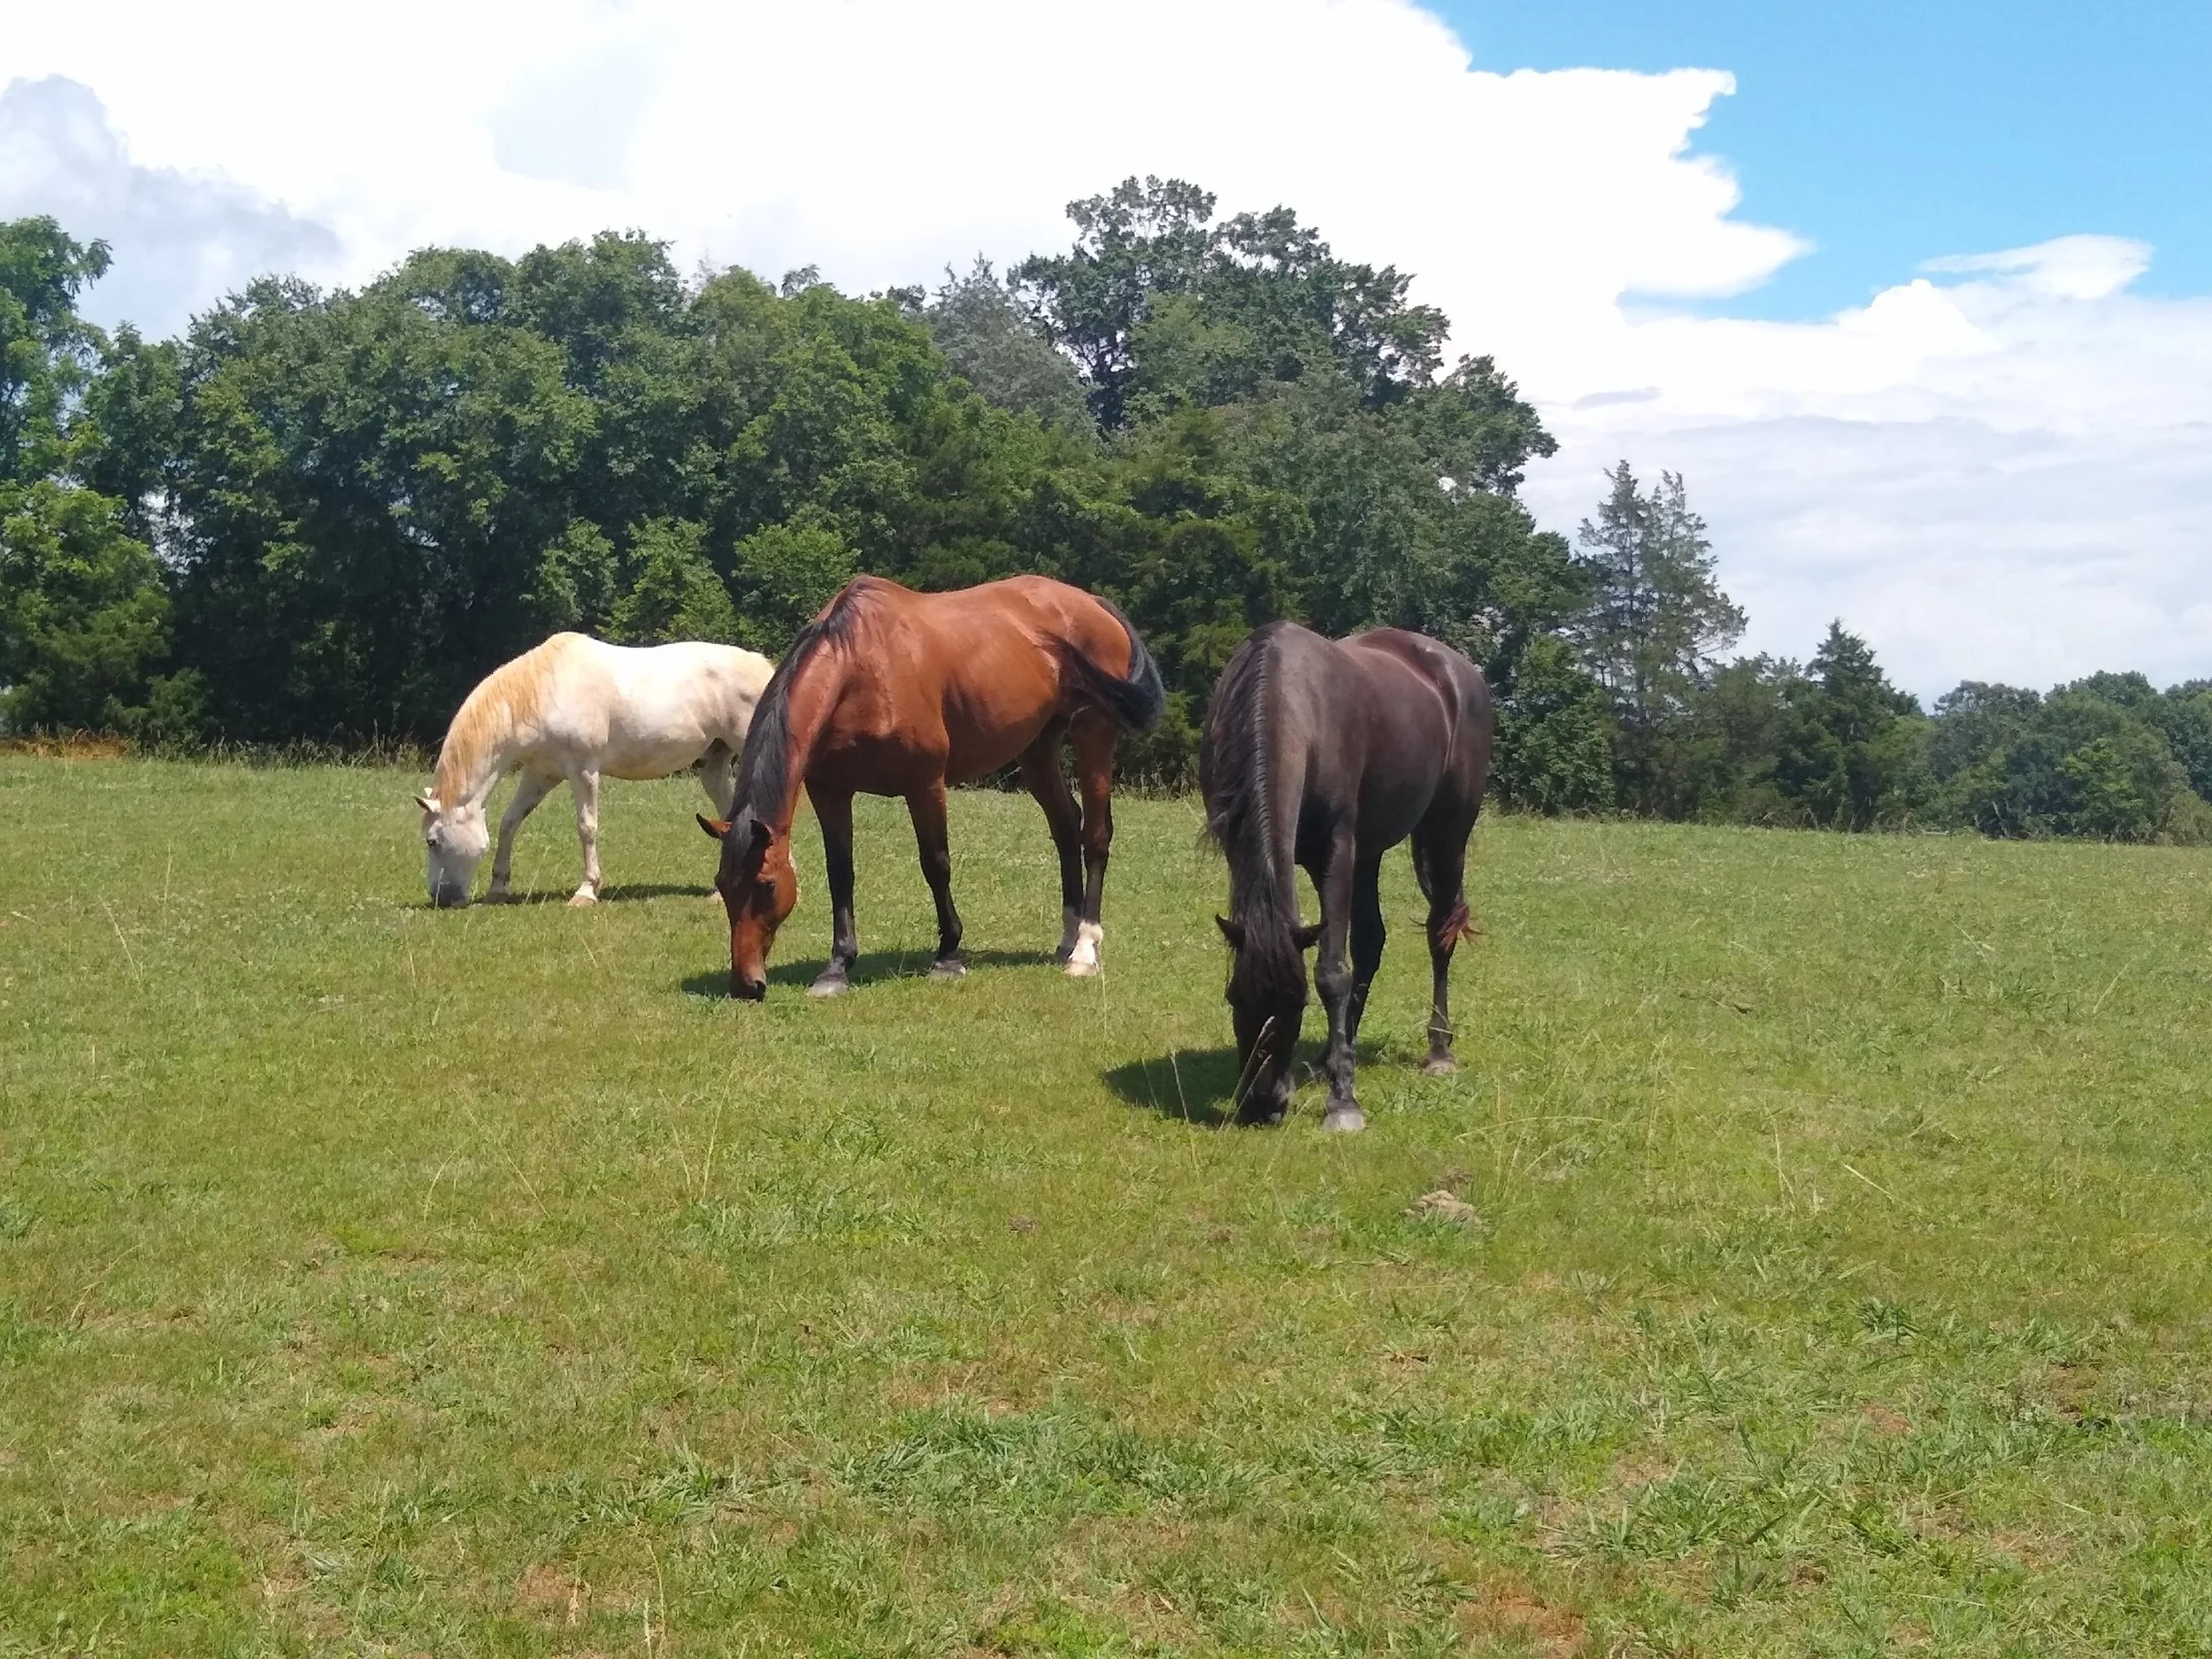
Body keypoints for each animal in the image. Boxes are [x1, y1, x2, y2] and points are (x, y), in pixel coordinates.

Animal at [416, 632, 774, 908]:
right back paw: (720, 893)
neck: (545, 690)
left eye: (432, 841)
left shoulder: (584, 770)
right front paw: (498, 889)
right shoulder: (541, 774)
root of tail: (762, 665)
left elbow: (586, 827)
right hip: (713, 765)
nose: (439, 898)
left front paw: (586, 892)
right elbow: (509, 822)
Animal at [698, 574, 1165, 999]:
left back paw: (1084, 950)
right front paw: (837, 966)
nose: (746, 985)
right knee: (1066, 828)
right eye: (723, 884)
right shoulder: (830, 791)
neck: (860, 669)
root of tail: (1092, 603)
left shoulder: (925, 784)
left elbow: (936, 864)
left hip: (1094, 732)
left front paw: (948, 956)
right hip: (1036, 749)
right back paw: (1066, 940)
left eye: (766, 885)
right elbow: (840, 873)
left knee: (1095, 836)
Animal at [1200, 620, 1493, 1132]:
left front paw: (1343, 1104)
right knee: (1371, 942)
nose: (1263, 1103)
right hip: (1368, 853)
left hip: (1447, 835)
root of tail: (1458, 670)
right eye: (1235, 998)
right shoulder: (1242, 848)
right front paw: (1335, 1072)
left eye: (1296, 1004)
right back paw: (1333, 1057)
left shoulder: (1335, 852)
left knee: (1440, 932)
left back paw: (1437, 1049)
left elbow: (1332, 974)